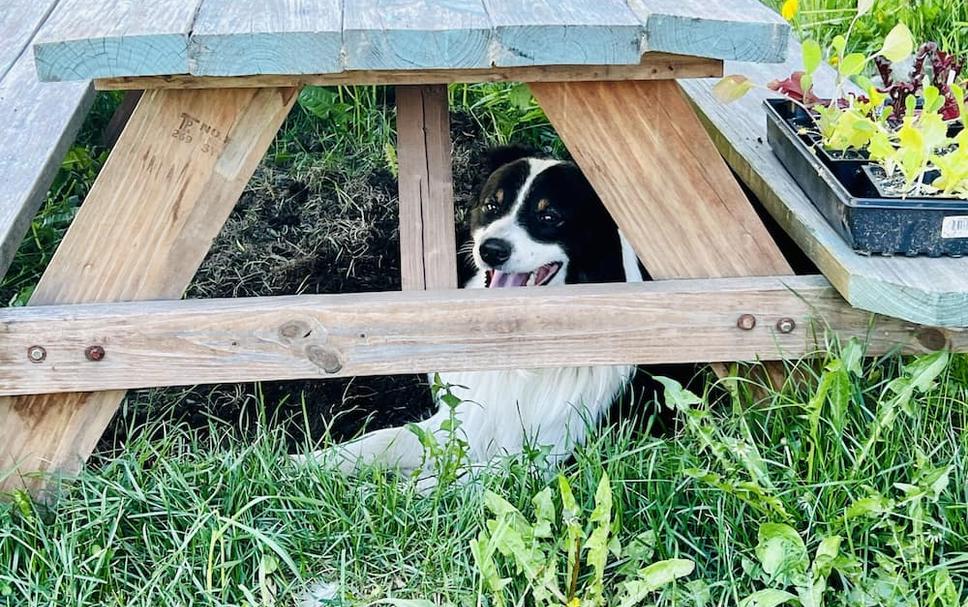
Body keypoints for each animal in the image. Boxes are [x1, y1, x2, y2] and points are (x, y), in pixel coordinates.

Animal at [302, 146, 648, 484]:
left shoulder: (557, 455)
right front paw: (300, 466)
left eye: (549, 216)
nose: (491, 250)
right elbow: (378, 440)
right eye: (492, 206)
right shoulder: (463, 422)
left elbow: (465, 479)